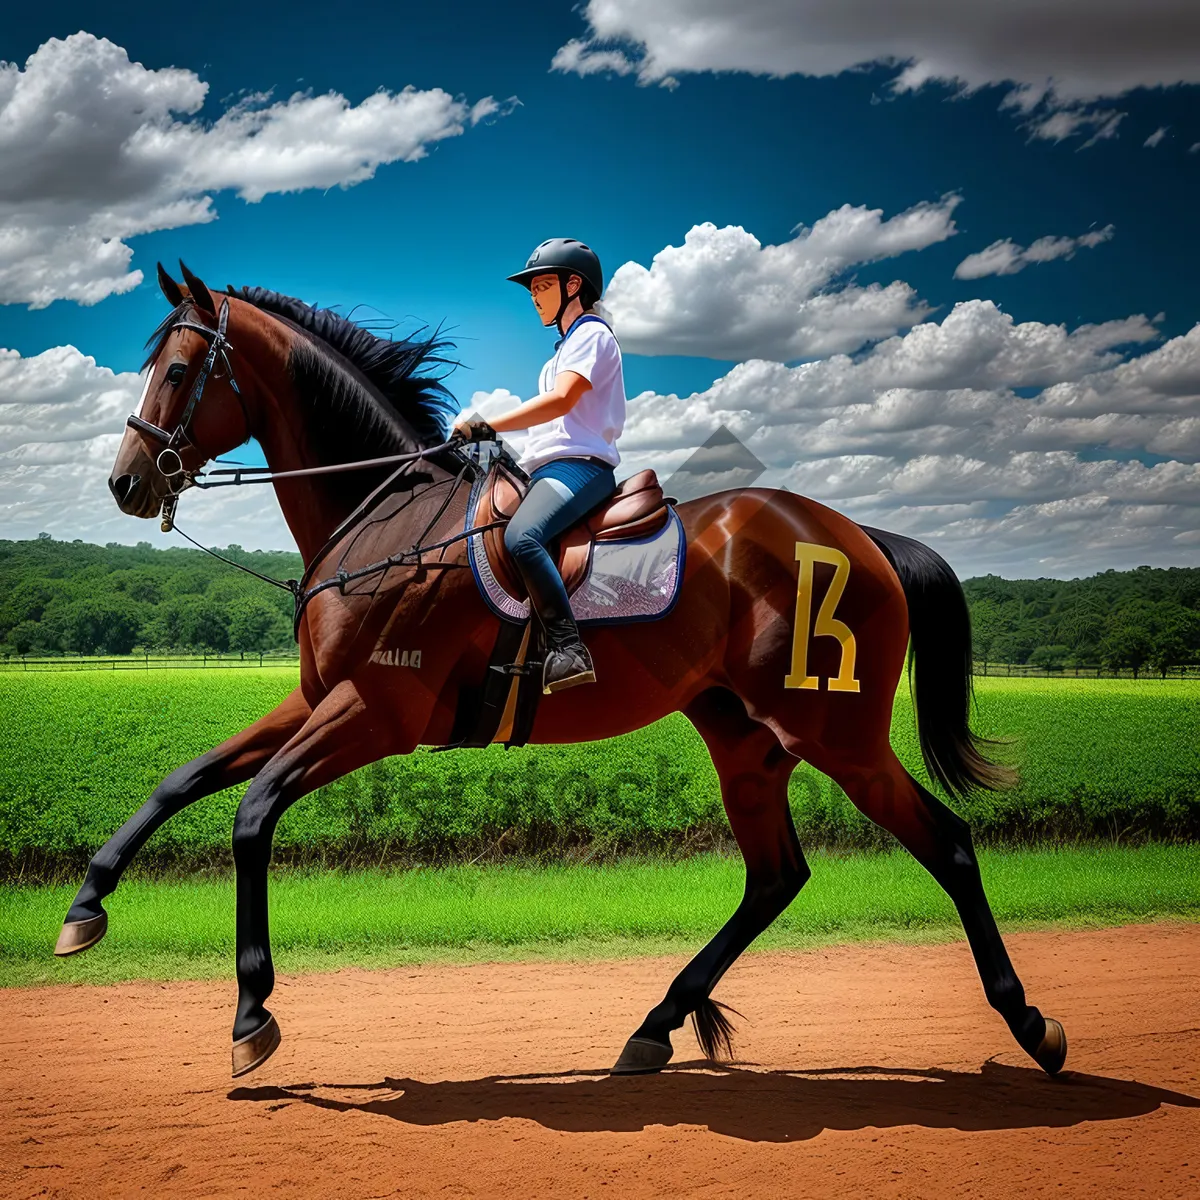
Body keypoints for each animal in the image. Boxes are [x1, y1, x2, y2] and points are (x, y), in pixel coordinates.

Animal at [56, 260, 1070, 1080]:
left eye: (178, 370)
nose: (126, 482)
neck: (385, 519)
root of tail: (857, 534)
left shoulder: (376, 713)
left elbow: (251, 813)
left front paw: (252, 1013)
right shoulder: (318, 696)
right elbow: (182, 780)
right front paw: (85, 906)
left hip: (839, 736)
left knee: (947, 844)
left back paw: (1032, 1025)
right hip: (743, 736)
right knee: (776, 877)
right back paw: (656, 1027)